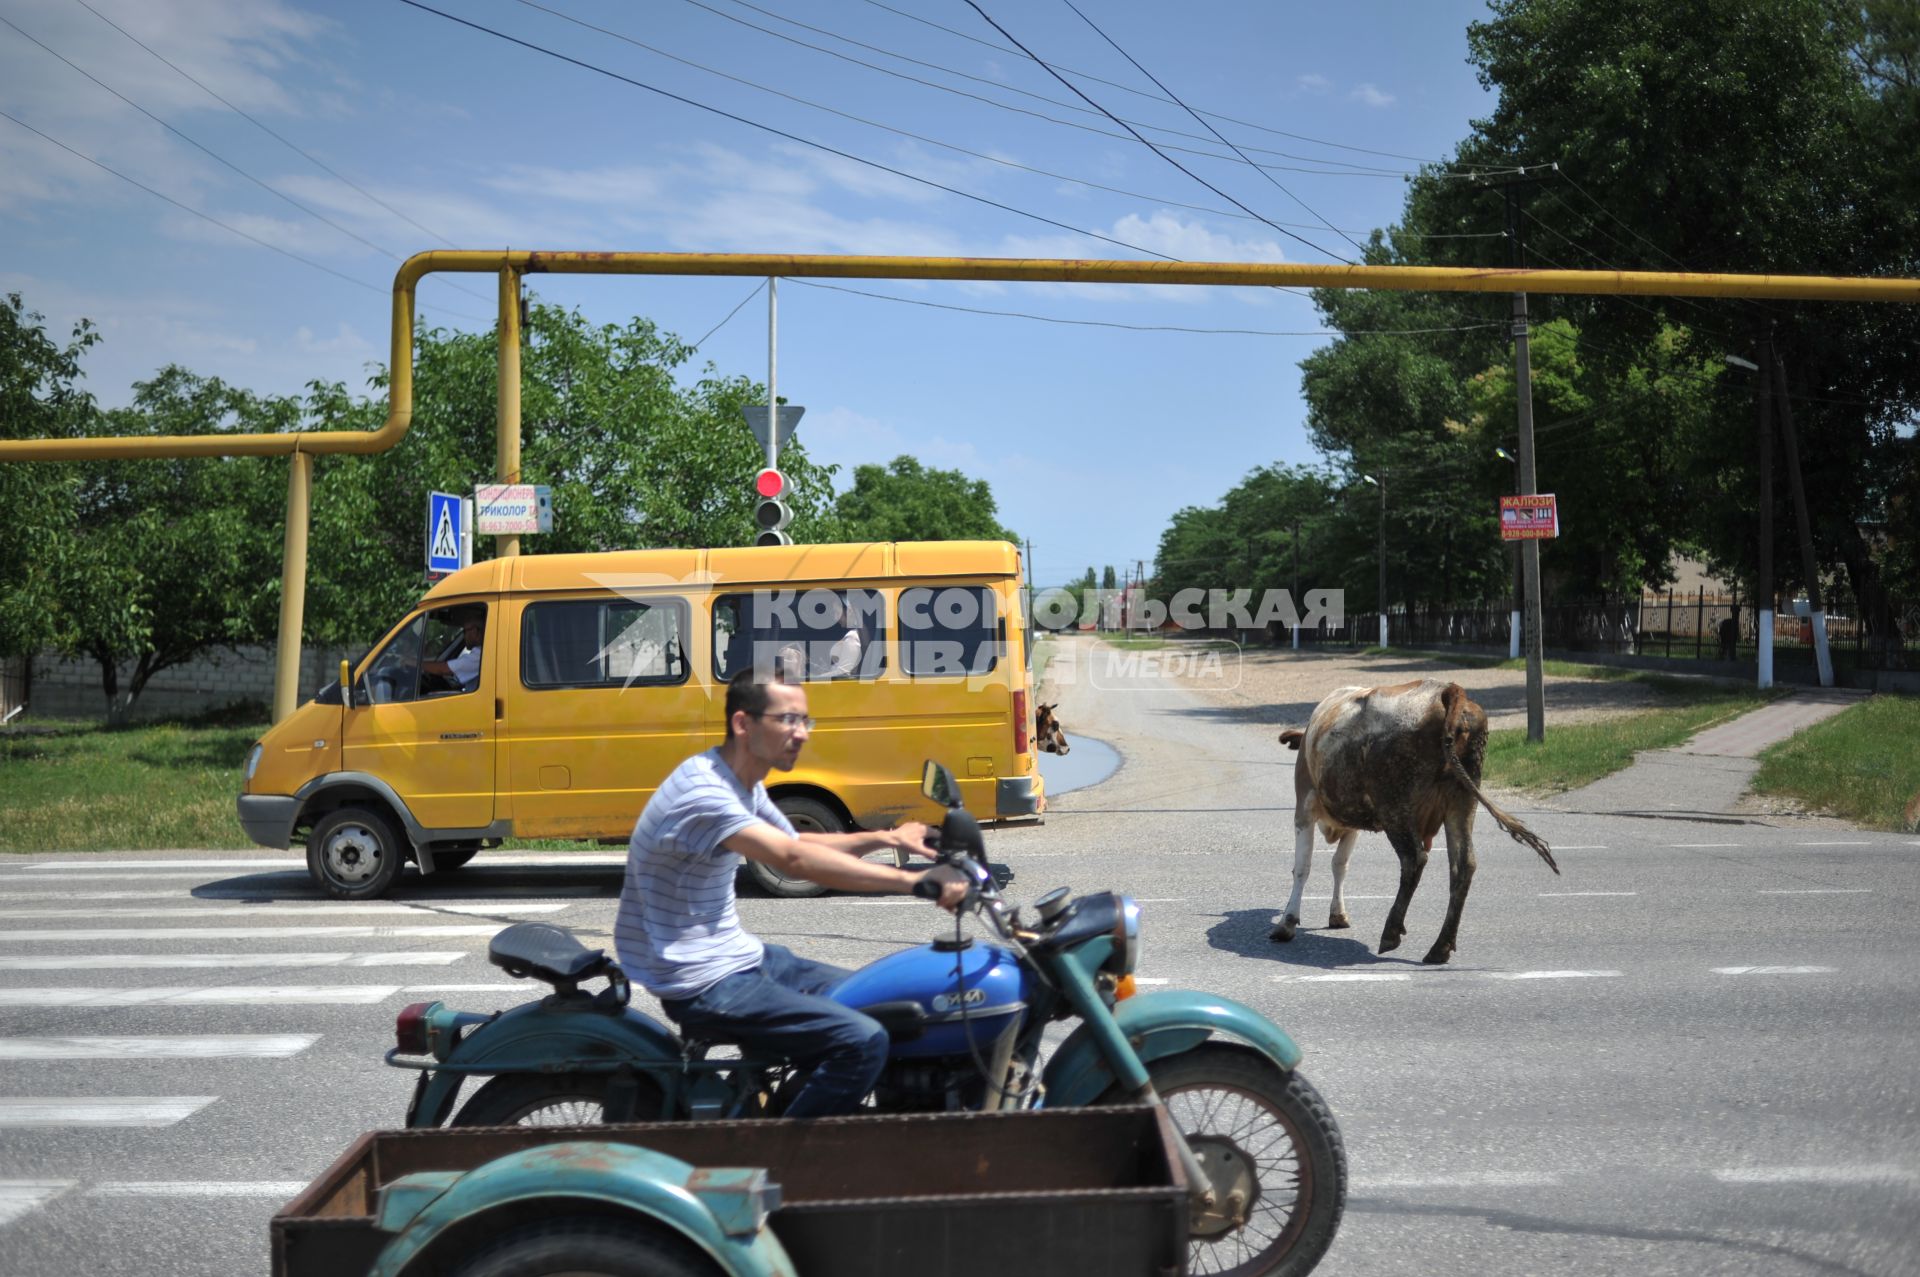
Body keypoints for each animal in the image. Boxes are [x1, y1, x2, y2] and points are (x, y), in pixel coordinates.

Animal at [1274, 683, 1559, 960]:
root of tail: (1447, 689)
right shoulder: (1350, 821)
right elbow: (1340, 865)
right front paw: (1337, 915)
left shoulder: (1304, 808)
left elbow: (1303, 867)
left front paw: (1287, 922)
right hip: (1462, 799)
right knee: (1463, 864)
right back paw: (1440, 947)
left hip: (1395, 807)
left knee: (1414, 859)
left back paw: (1391, 932)